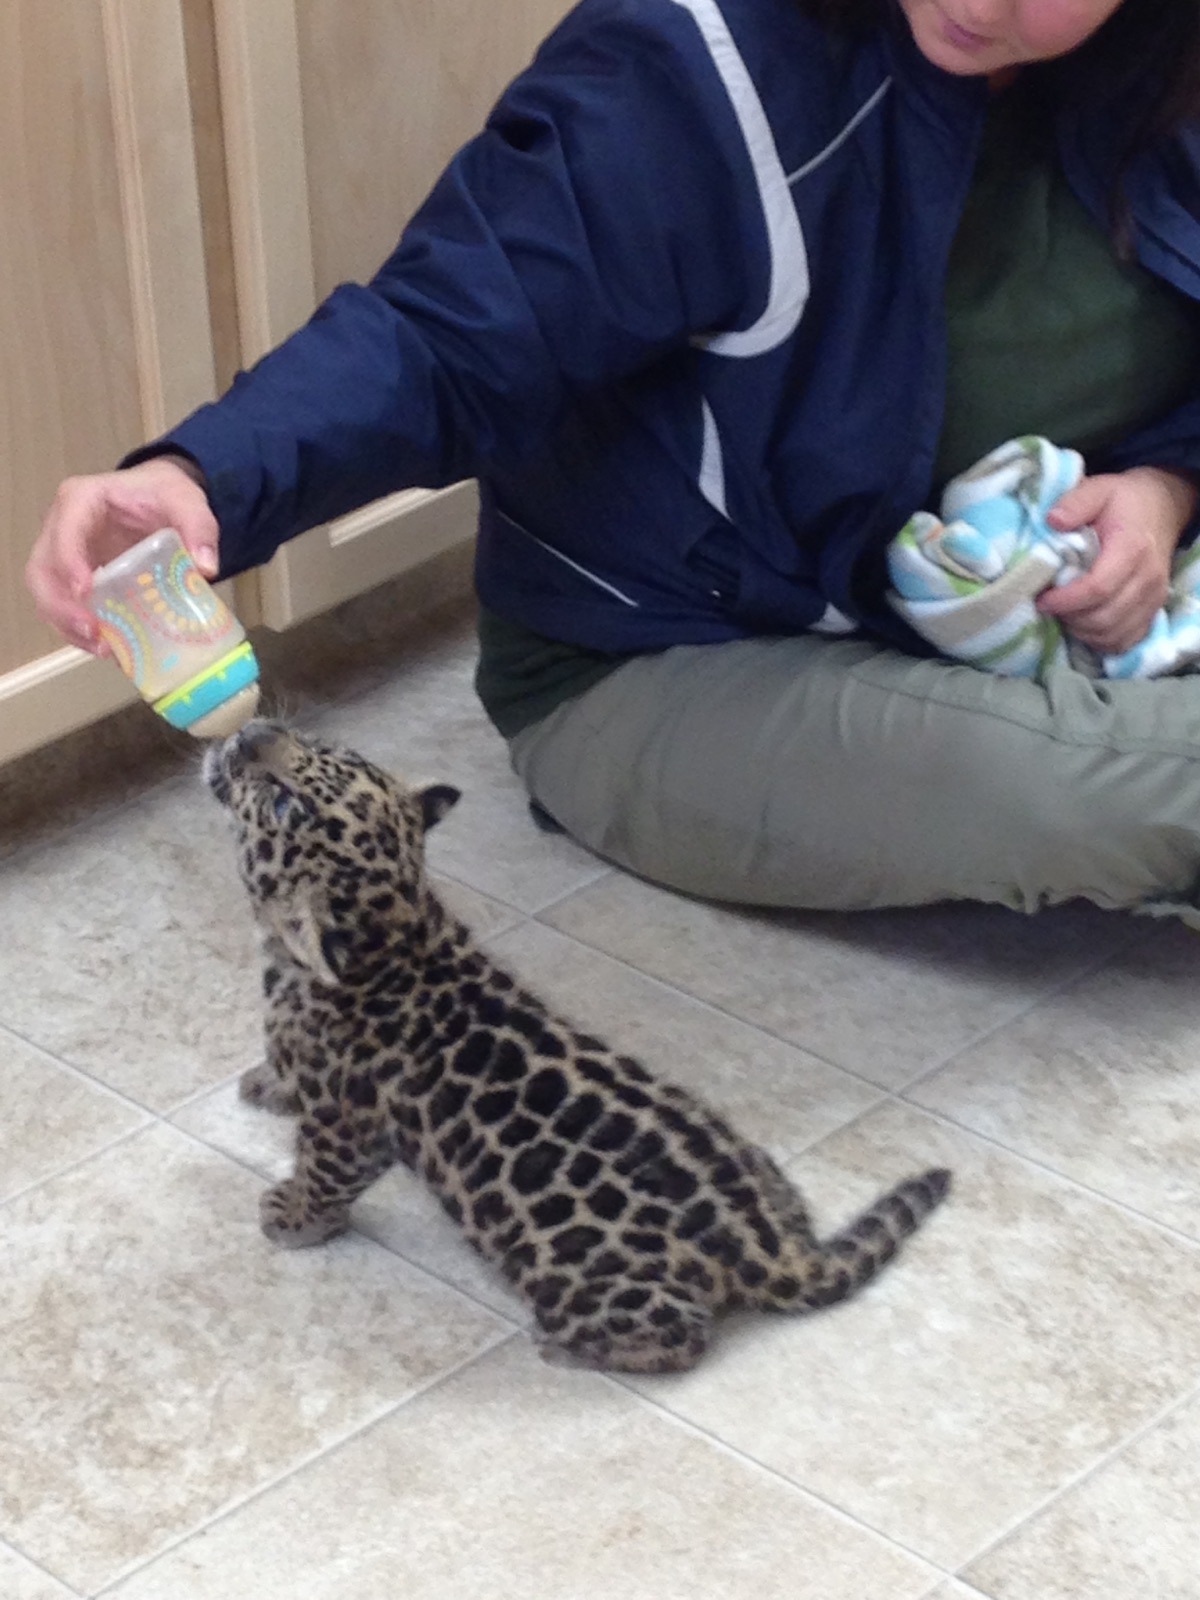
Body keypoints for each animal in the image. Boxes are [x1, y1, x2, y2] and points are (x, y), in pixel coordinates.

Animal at [204, 720, 950, 1374]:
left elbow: (324, 1174)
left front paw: (293, 1218)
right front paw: (266, 1084)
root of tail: (773, 1250)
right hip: (764, 1164)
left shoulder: (347, 1127)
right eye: (325, 752)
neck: (399, 932)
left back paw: (566, 1350)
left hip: (590, 1285)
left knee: (684, 1341)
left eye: (286, 801)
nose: (253, 732)